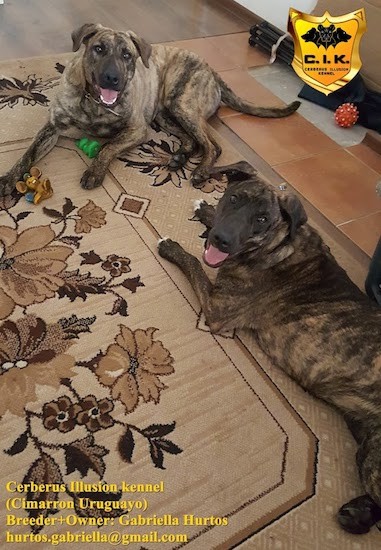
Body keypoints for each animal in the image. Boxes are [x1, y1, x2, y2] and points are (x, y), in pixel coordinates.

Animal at [0, 23, 300, 196]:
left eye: (127, 55)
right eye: (98, 48)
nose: (112, 79)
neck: (94, 102)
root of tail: (211, 70)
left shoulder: (137, 130)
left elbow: (108, 147)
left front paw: (95, 172)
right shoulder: (52, 128)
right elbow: (28, 153)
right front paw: (10, 178)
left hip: (182, 105)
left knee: (212, 146)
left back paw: (201, 170)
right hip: (166, 114)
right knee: (191, 140)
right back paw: (179, 158)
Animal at [157, 162, 380, 536]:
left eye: (262, 219)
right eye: (234, 198)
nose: (221, 239)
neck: (277, 246)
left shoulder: (217, 310)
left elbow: (193, 262)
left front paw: (171, 245)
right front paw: (205, 209)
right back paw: (357, 514)